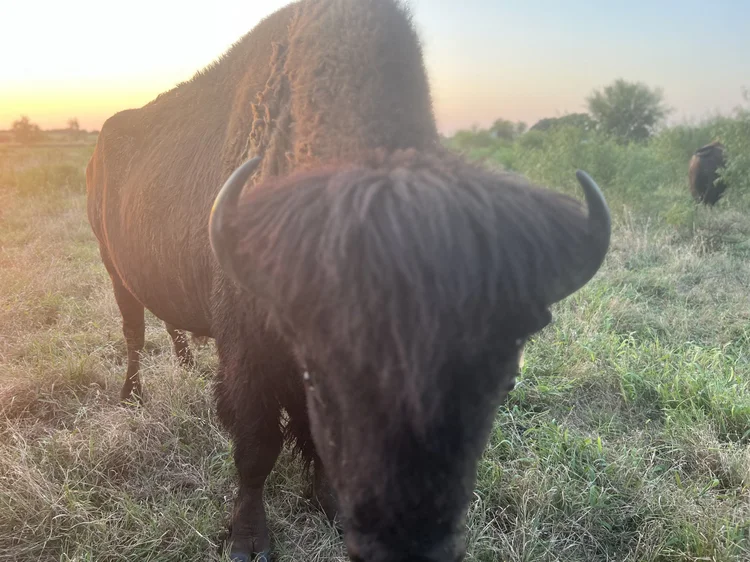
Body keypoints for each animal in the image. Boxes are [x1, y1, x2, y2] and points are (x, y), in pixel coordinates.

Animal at [85, 1, 611, 561]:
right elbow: (257, 445)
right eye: (321, 375)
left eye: (507, 379)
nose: (408, 543)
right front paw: (249, 539)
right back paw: (132, 396)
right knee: (134, 331)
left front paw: (329, 506)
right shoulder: (249, 356)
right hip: (111, 266)